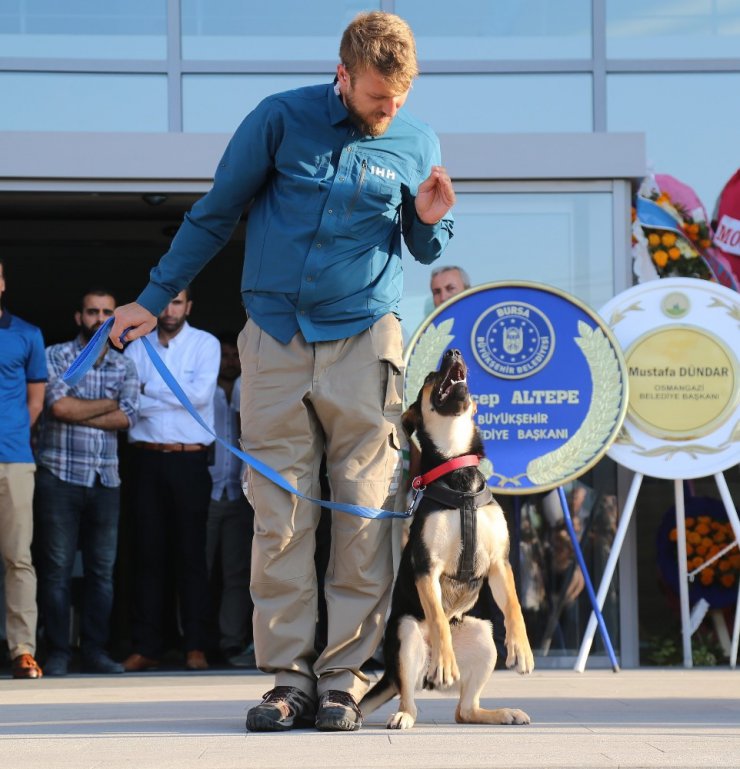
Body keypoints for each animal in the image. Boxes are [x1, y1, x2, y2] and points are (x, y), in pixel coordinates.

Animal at [362, 348, 536, 728]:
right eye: (430, 377)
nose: (454, 351)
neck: (457, 468)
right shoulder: (427, 568)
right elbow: (440, 620)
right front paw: (445, 663)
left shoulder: (499, 563)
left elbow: (514, 606)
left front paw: (522, 649)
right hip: (407, 633)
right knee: (411, 698)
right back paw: (407, 709)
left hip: (483, 638)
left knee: (464, 710)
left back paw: (502, 712)